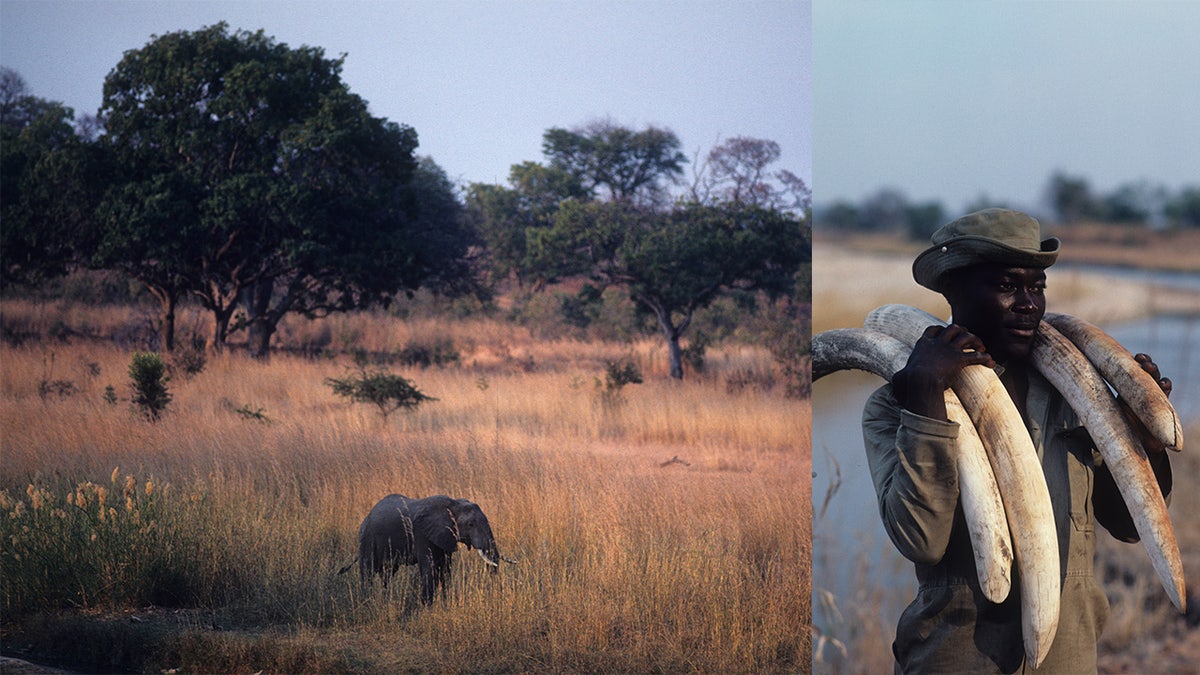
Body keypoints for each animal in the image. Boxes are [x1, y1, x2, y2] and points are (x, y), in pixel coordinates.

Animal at [338, 492, 516, 600]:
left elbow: (445, 569)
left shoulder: (444, 537)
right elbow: (430, 568)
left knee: (387, 573)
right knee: (367, 571)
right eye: (471, 524)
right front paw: (427, 607)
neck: (453, 504)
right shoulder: (422, 533)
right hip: (367, 538)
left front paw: (445, 603)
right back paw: (366, 599)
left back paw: (384, 598)